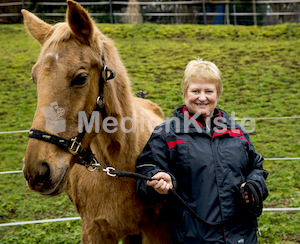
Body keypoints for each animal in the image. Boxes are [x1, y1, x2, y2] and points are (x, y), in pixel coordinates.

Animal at [21, 0, 171, 243]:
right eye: (35, 78)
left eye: (81, 78)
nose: (37, 171)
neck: (119, 163)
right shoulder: (94, 230)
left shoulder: (156, 230)